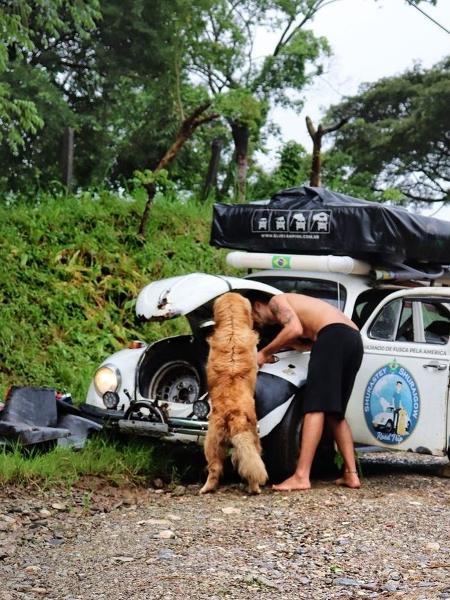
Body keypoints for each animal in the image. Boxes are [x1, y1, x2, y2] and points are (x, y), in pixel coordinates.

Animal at [200, 292, 268, 494]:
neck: (232, 327)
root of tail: (233, 414)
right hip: (253, 439)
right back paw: (255, 488)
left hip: (212, 442)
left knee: (215, 468)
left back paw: (206, 488)